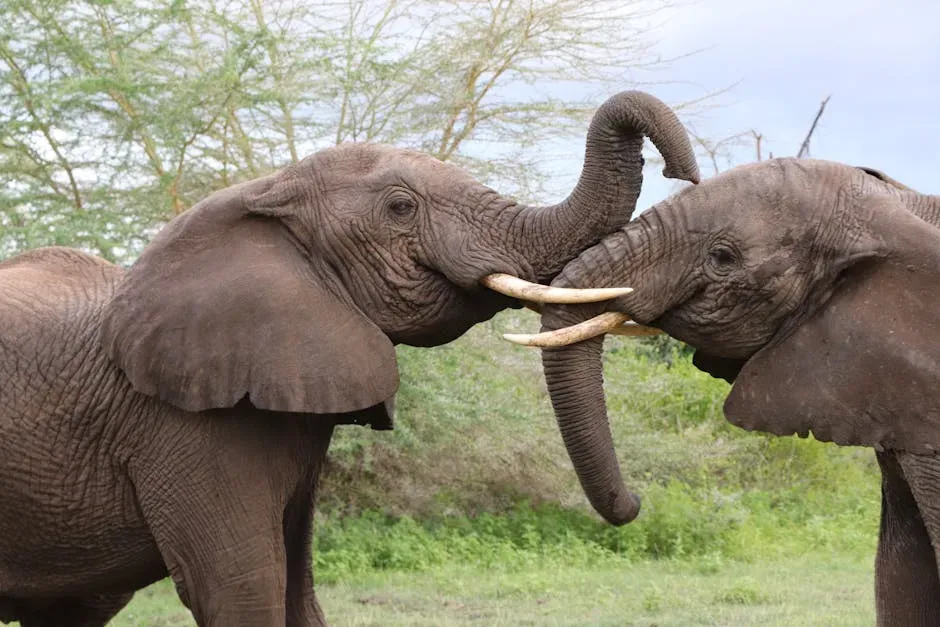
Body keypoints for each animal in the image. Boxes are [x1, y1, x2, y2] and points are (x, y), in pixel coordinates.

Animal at [0, 91, 699, 627]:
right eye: (400, 208)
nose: (686, 175)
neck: (265, 192)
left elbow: (297, 593)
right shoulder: (182, 428)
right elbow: (239, 591)